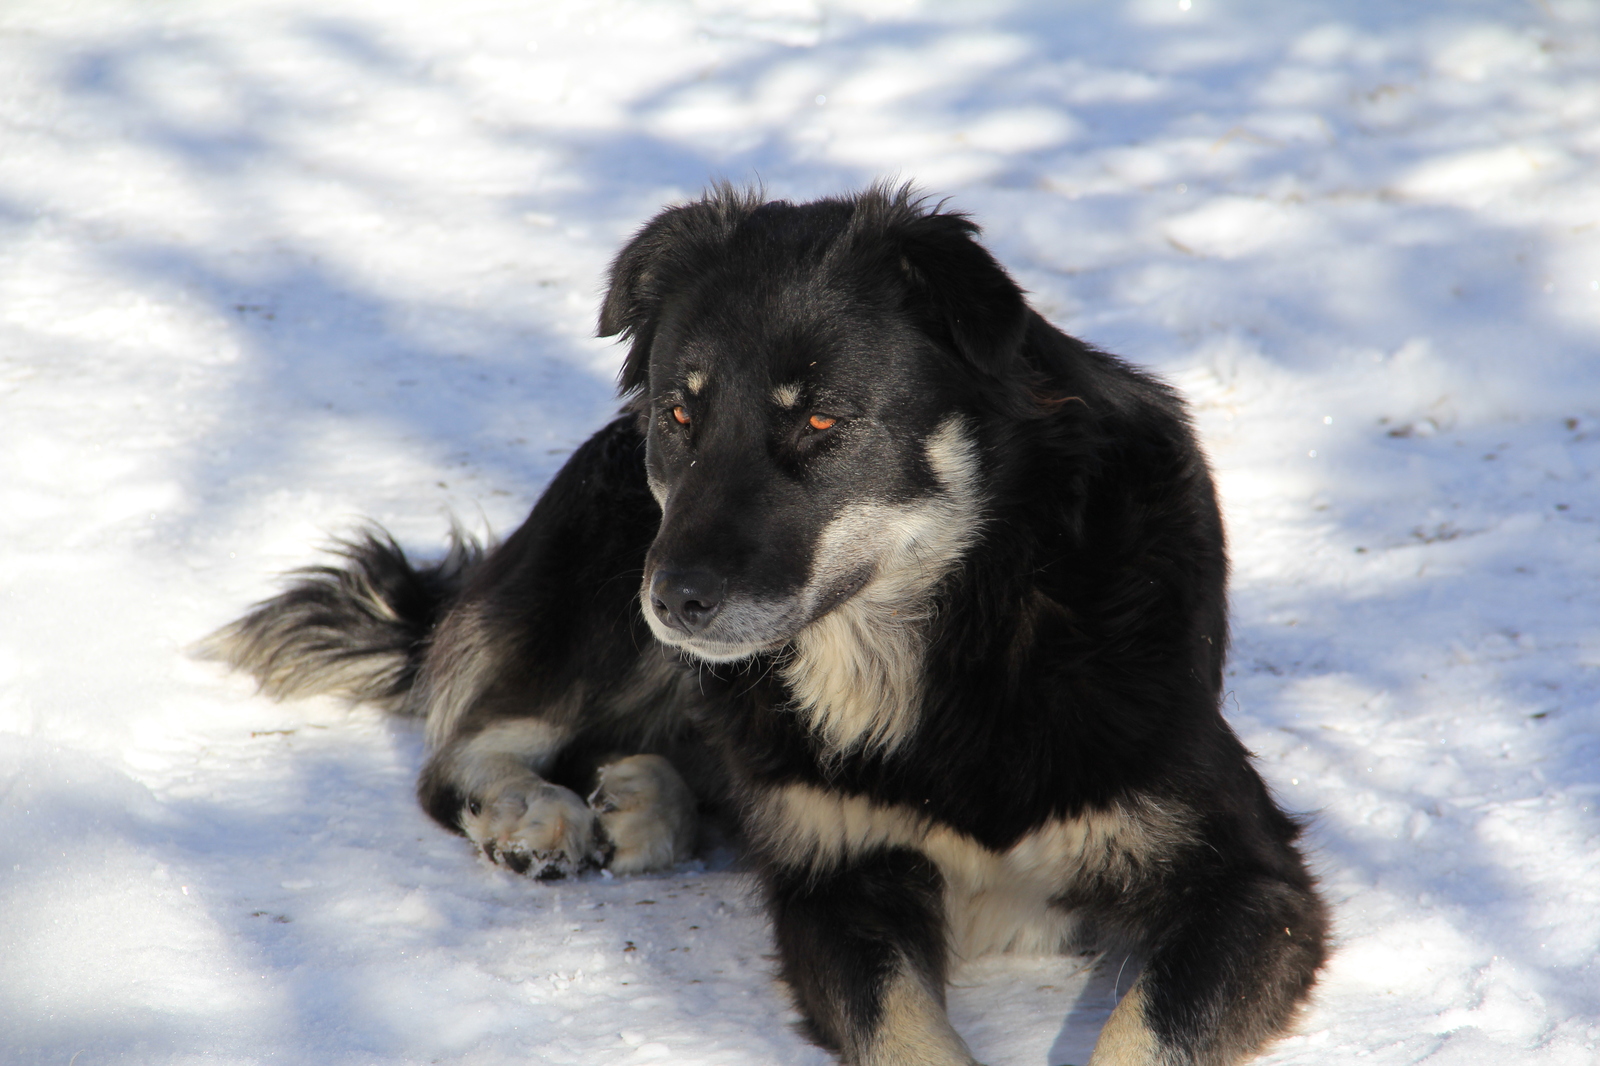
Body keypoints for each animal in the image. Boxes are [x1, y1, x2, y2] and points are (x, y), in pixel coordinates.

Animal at [206, 186, 1331, 1062]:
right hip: (607, 550)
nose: (674, 601)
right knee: (461, 755)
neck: (955, 638)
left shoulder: (1252, 884)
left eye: (822, 419)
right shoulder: (838, 884)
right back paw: (537, 809)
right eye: (682, 414)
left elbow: (1145, 1030)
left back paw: (645, 802)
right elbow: (903, 1030)